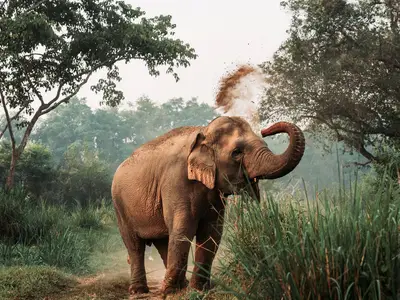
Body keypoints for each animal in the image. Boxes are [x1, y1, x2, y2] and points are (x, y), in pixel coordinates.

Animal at [111, 116, 304, 296]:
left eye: (264, 142)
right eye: (236, 152)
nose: (265, 131)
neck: (203, 132)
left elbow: (212, 232)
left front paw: (197, 290)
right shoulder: (176, 181)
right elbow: (184, 229)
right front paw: (170, 292)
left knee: (163, 241)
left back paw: (179, 286)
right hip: (120, 207)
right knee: (135, 245)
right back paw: (140, 291)